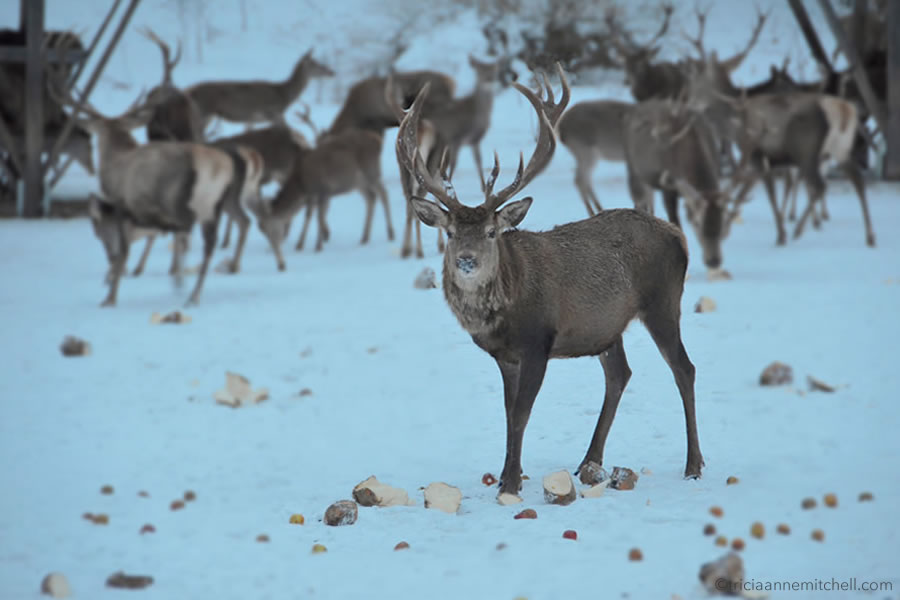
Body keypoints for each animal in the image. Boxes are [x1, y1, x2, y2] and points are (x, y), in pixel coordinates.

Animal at [186, 49, 334, 131]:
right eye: (315, 64)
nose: (332, 72)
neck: (284, 95)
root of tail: (189, 91)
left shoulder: (251, 120)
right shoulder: (273, 113)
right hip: (203, 112)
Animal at [398, 76, 704, 498]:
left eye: (491, 232)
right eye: (450, 233)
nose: (467, 261)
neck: (504, 312)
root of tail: (679, 236)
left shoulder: (538, 343)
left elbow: (521, 414)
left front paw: (510, 483)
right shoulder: (504, 356)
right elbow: (508, 413)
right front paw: (507, 474)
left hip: (663, 301)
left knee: (684, 368)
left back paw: (693, 465)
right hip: (606, 326)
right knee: (620, 374)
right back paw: (589, 462)